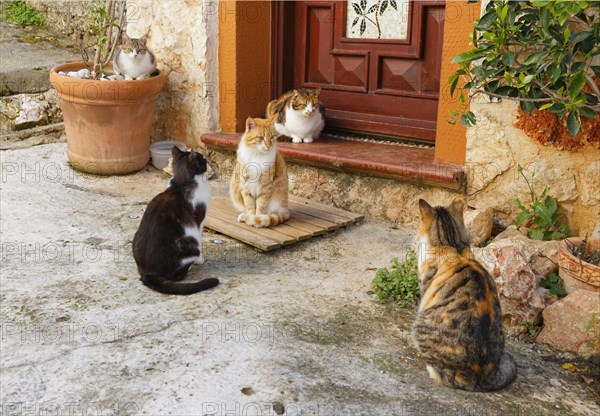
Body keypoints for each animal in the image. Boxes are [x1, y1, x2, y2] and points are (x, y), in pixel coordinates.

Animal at [49, 0, 164, 176]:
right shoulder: (121, 63)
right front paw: (129, 78)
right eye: (129, 49)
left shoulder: (151, 63)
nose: (135, 55)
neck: (135, 65)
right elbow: (127, 74)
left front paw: (141, 78)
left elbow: (144, 73)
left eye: (140, 50)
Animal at [132, 146, 219, 296]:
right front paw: (200, 260)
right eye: (202, 159)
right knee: (178, 276)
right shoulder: (199, 221)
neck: (180, 183)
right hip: (190, 242)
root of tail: (148, 273)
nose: (208, 160)